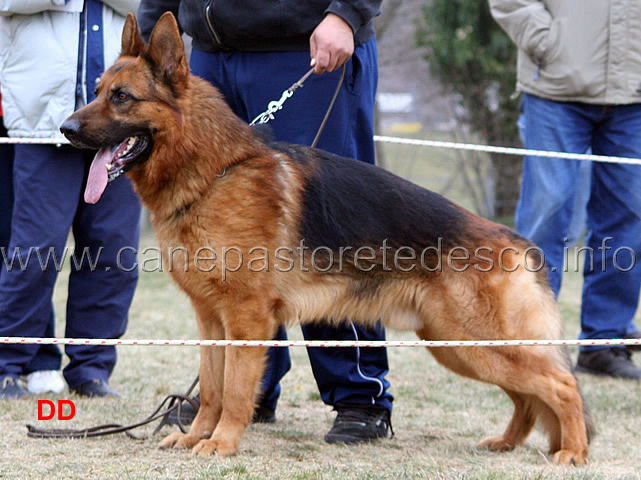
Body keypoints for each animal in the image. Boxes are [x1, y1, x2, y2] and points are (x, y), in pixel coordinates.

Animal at [60, 13, 592, 464]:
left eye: (122, 97)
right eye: (97, 90)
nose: (64, 130)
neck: (213, 173)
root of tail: (515, 240)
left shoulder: (247, 319)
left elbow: (235, 390)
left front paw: (222, 443)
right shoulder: (211, 319)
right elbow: (211, 388)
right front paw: (195, 436)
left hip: (473, 341)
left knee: (562, 386)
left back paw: (573, 452)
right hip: (455, 345)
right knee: (529, 395)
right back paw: (507, 442)